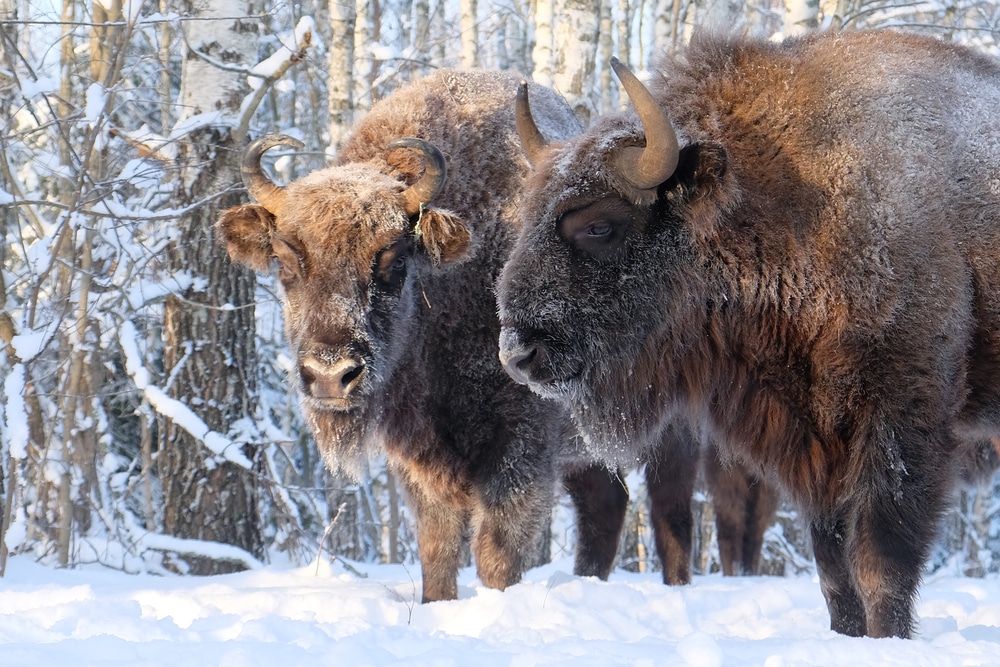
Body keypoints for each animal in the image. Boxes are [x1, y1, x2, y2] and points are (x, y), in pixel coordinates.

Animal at [498, 28, 1000, 640]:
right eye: (527, 217)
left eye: (599, 225)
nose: (517, 352)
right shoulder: (814, 444)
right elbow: (834, 570)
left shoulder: (902, 425)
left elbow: (880, 562)